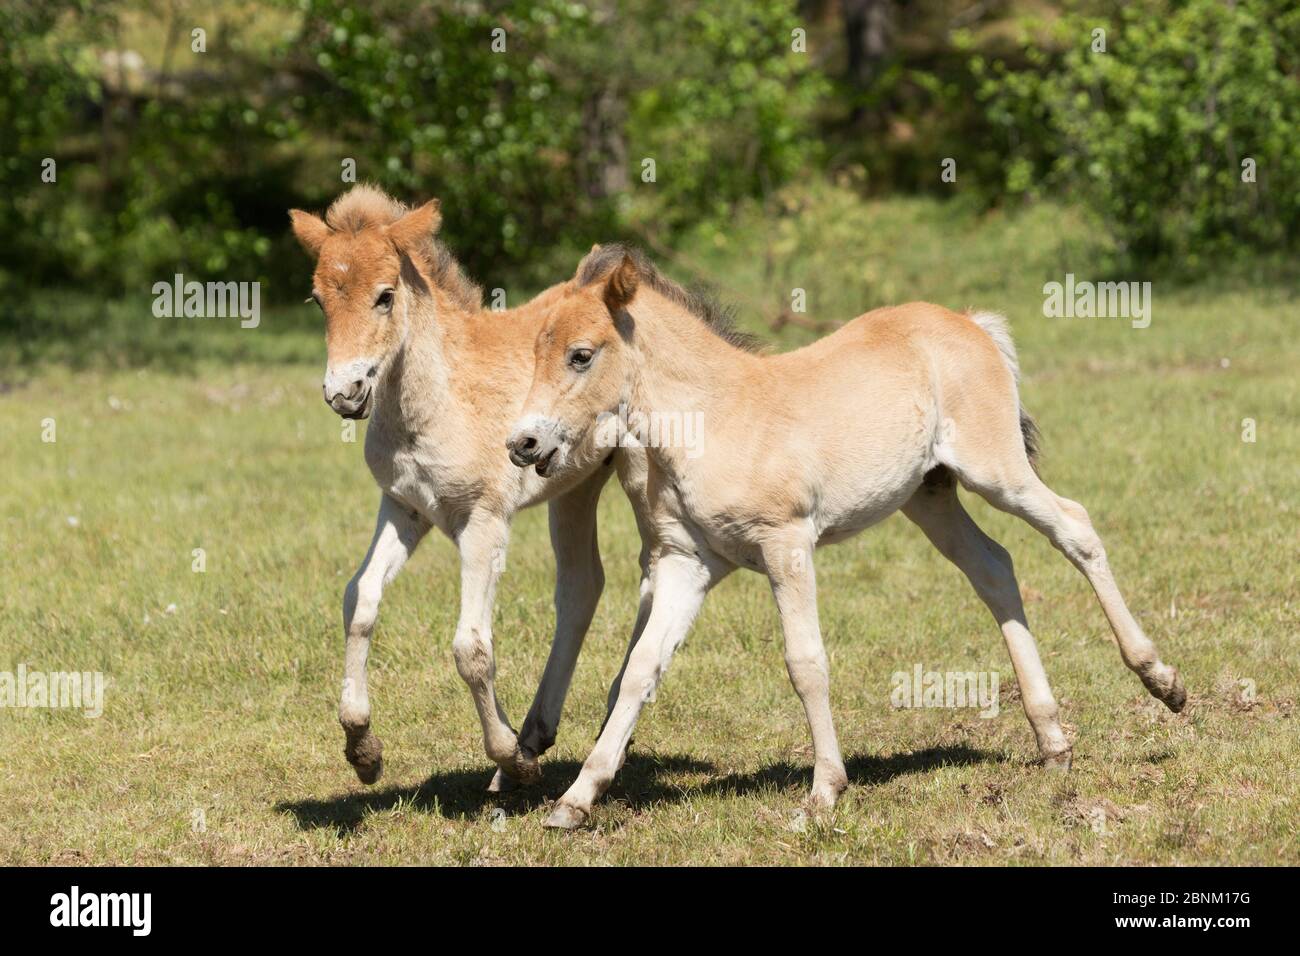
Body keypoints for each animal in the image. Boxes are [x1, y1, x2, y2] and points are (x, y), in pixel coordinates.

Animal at [289, 188, 655, 790]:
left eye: (385, 296)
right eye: (319, 301)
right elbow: (359, 600)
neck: (438, 400)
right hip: (574, 487)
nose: (344, 393)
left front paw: (511, 759)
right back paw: (541, 730)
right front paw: (363, 747)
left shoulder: (483, 521)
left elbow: (471, 649)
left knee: (654, 577)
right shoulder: (404, 508)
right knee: (583, 586)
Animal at [506, 244, 1190, 832]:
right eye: (535, 350)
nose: (523, 443)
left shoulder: (786, 545)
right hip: (930, 496)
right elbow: (640, 670)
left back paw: (1163, 681)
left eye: (581, 354)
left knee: (1075, 528)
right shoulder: (686, 563)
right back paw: (1052, 741)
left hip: (996, 470)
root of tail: (969, 323)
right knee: (994, 567)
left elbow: (805, 663)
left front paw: (824, 792)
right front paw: (575, 800)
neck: (715, 419)